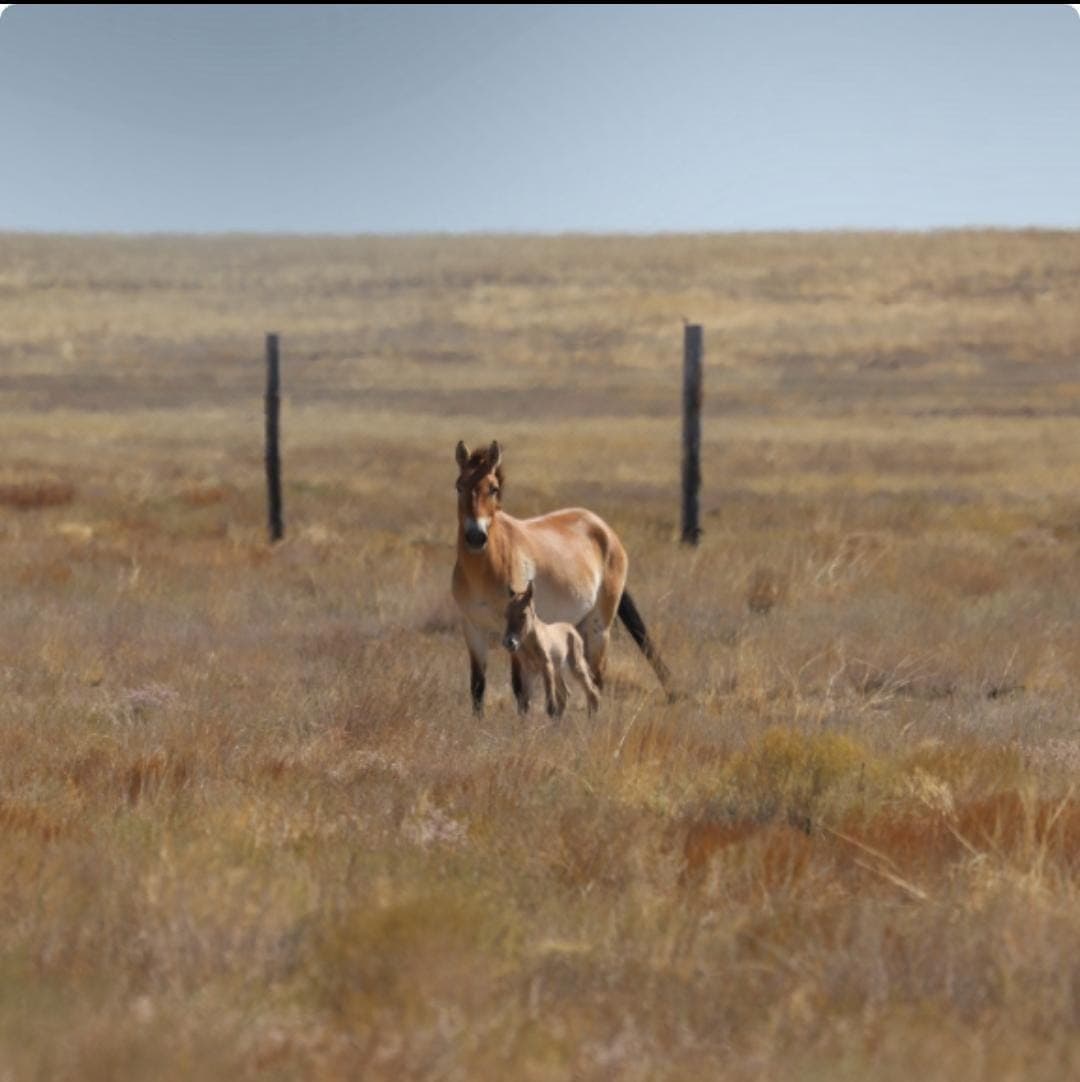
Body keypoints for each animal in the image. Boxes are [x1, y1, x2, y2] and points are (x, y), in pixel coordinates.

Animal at [502, 581, 600, 718]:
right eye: (506, 614)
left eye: (523, 615)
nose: (510, 642)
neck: (530, 646)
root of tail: (572, 629)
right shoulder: (529, 671)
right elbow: (525, 704)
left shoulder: (546, 667)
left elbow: (550, 706)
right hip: (557, 671)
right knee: (565, 695)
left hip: (575, 666)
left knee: (592, 692)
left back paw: (591, 720)